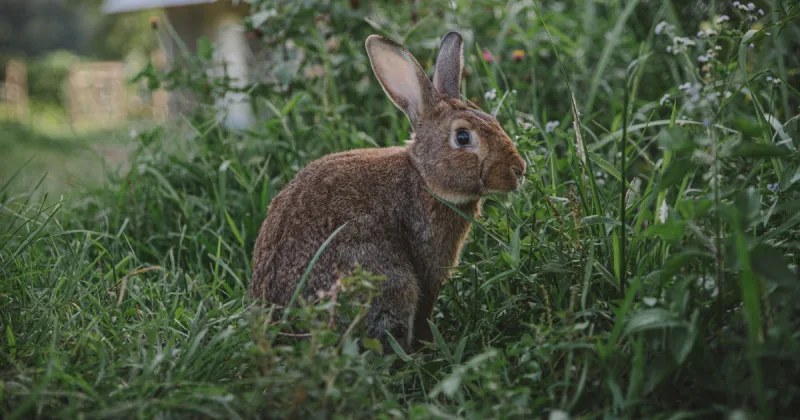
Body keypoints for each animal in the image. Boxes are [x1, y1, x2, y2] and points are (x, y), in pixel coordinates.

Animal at [249, 31, 526, 352]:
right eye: (463, 137)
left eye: (494, 122)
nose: (519, 170)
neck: (423, 177)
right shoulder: (428, 266)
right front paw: (430, 344)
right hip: (386, 281)